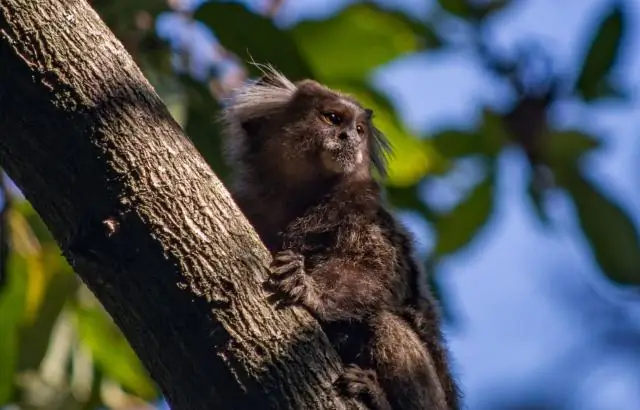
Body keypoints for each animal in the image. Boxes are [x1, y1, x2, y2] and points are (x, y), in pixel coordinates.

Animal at [220, 65, 460, 408]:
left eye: (359, 129)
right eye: (333, 118)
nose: (349, 137)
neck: (299, 198)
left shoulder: (362, 212)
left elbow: (378, 272)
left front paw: (308, 287)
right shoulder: (250, 203)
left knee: (386, 323)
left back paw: (374, 393)